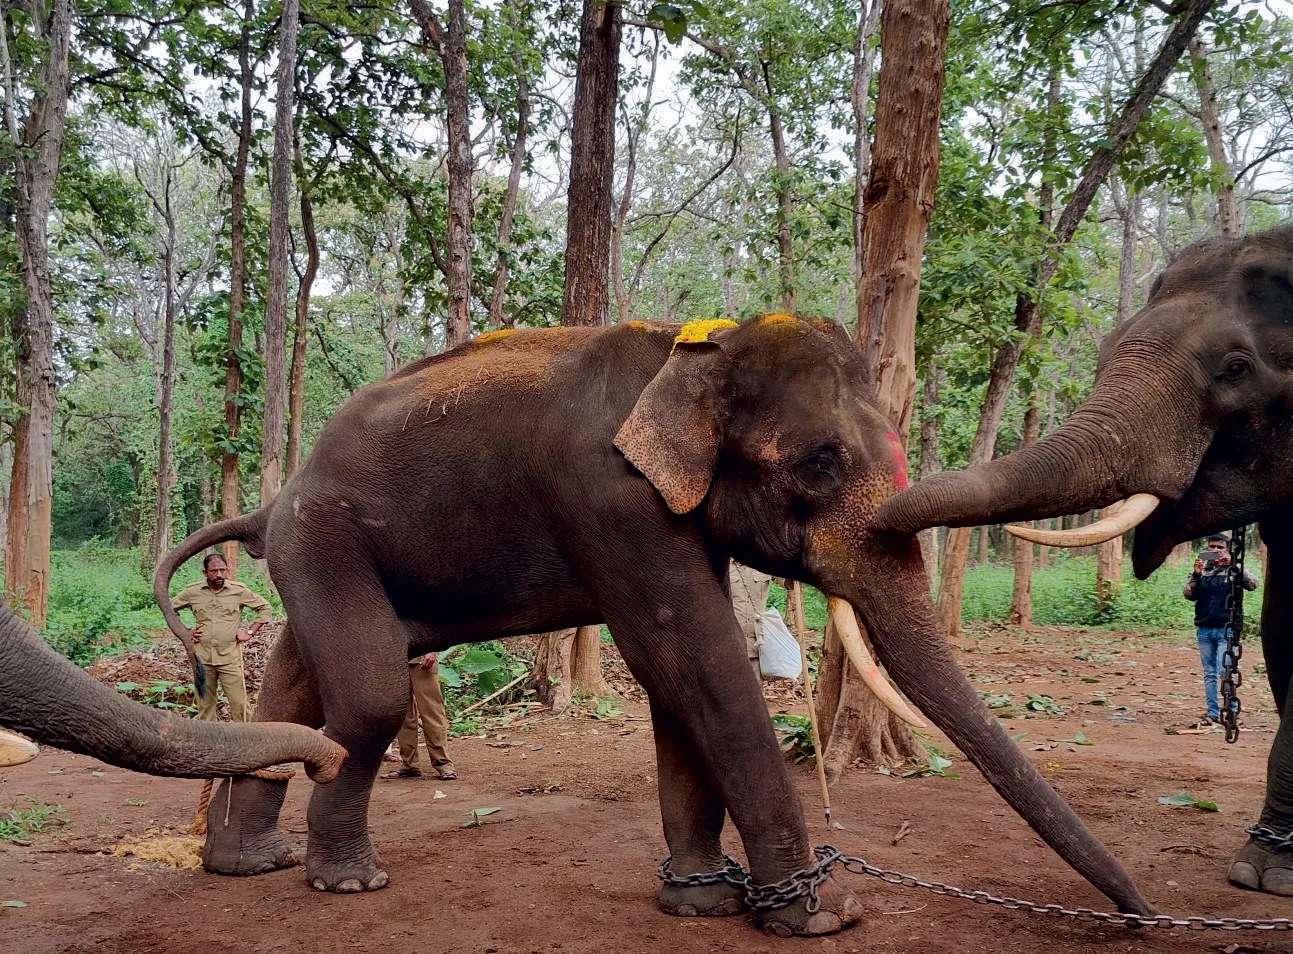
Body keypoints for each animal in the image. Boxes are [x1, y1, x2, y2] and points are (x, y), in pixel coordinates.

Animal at [155, 315, 1151, 935]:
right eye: (820, 463)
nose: (1139, 915)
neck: (693, 348)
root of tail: (273, 500)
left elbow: (679, 680)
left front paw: (702, 905)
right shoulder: (607, 497)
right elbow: (691, 655)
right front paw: (819, 918)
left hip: (319, 552)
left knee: (296, 680)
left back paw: (247, 865)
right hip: (323, 537)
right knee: (366, 694)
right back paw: (346, 881)